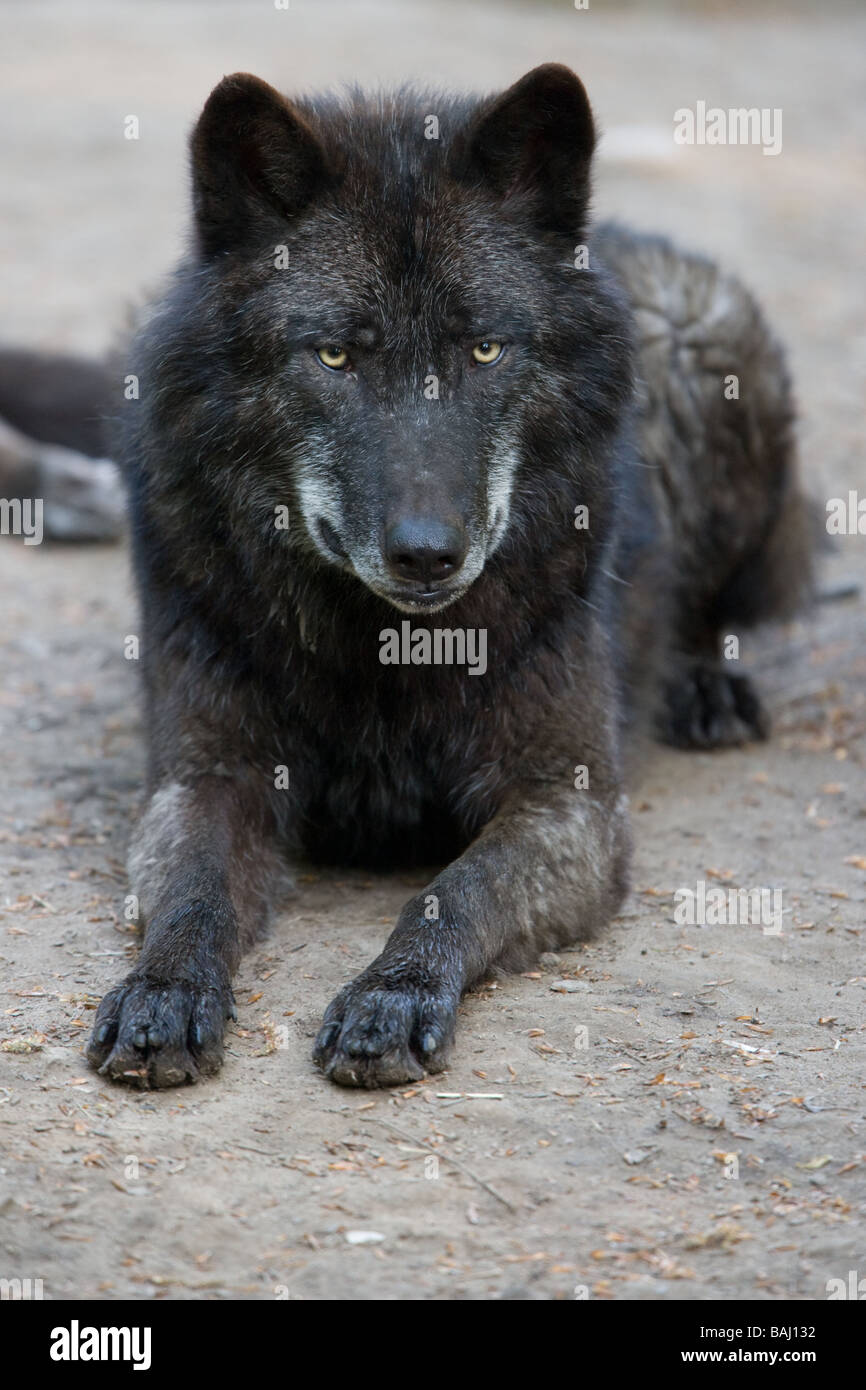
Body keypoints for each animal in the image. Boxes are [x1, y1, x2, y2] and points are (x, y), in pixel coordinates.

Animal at [84, 64, 812, 1089]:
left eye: (484, 349)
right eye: (337, 355)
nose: (427, 551)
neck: (385, 654)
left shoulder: (567, 802)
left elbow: (455, 888)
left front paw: (393, 996)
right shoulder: (203, 776)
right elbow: (193, 891)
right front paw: (165, 992)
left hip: (710, 345)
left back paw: (705, 687)